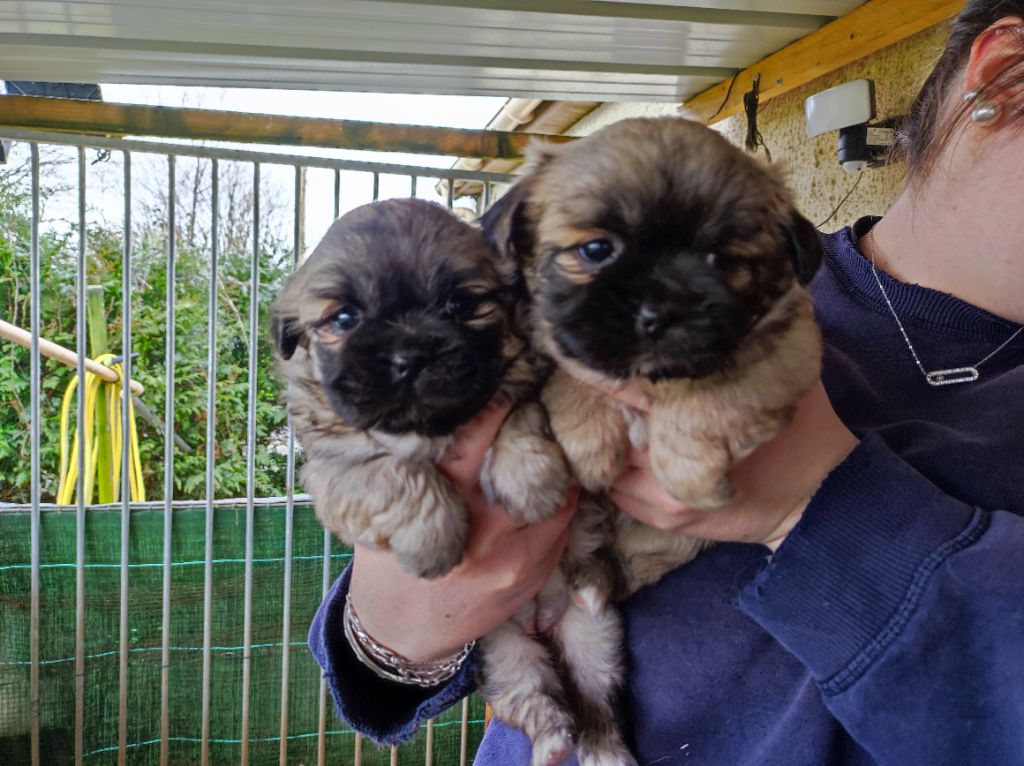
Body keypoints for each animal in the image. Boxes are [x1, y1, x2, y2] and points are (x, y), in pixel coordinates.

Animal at [272, 197, 569, 581]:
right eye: (344, 318)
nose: (409, 358)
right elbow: (390, 470)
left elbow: (522, 413)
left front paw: (531, 482)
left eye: (460, 304)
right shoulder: (333, 464)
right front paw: (432, 538)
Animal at [479, 115, 823, 766]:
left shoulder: (783, 350)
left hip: (596, 640)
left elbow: (712, 390)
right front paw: (583, 446)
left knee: (594, 697)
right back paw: (555, 740)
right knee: (533, 696)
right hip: (508, 651)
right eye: (596, 250)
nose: (658, 310)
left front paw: (690, 472)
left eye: (721, 259)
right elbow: (566, 381)